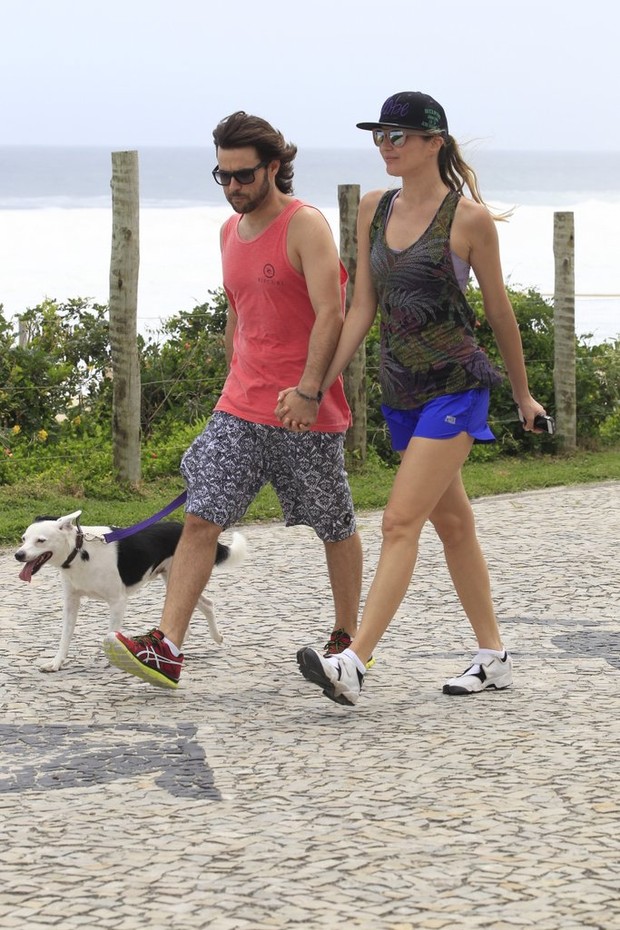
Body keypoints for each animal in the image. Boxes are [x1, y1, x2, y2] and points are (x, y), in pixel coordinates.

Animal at [15, 512, 246, 672]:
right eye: (23, 538)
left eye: (41, 541)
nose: (18, 555)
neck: (80, 552)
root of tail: (180, 526)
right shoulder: (71, 602)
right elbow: (65, 636)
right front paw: (56, 663)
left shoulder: (117, 602)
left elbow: (110, 633)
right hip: (175, 579)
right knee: (204, 604)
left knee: (206, 604)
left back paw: (213, 638)